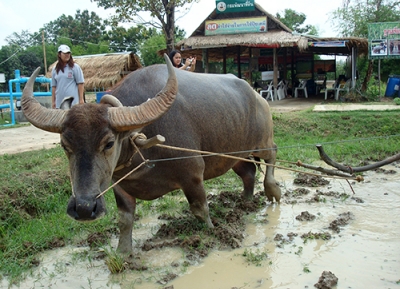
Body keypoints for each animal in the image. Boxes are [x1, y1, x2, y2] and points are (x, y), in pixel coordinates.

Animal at [20, 54, 280, 254]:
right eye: (65, 145)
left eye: (109, 143)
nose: (84, 208)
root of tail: (256, 95)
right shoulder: (119, 185)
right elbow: (124, 220)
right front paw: (124, 253)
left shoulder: (193, 175)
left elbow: (200, 210)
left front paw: (212, 232)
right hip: (235, 155)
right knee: (248, 172)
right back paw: (246, 202)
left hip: (263, 142)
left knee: (271, 158)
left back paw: (272, 191)